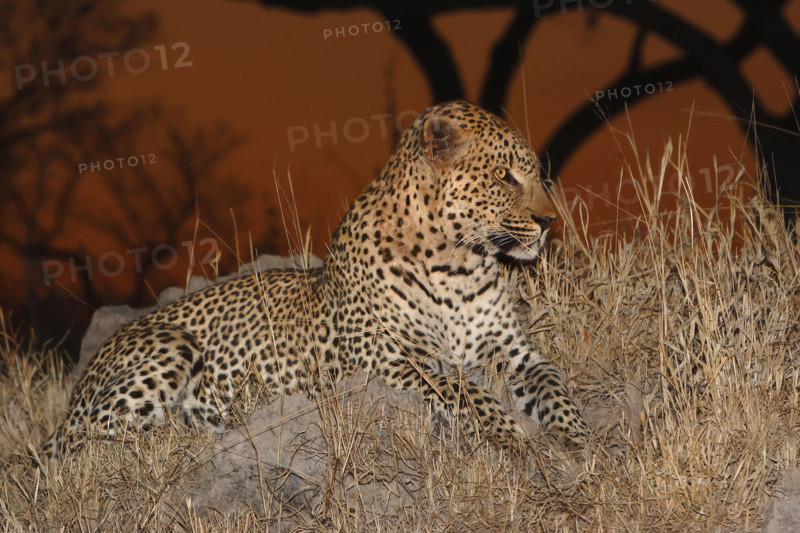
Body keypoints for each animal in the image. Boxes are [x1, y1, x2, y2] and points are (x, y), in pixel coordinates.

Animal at [41, 100, 589, 457]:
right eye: (503, 176)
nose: (549, 221)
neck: (457, 264)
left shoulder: (514, 352)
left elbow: (554, 385)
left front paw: (583, 443)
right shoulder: (387, 360)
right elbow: (460, 389)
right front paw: (508, 435)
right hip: (166, 350)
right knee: (90, 446)